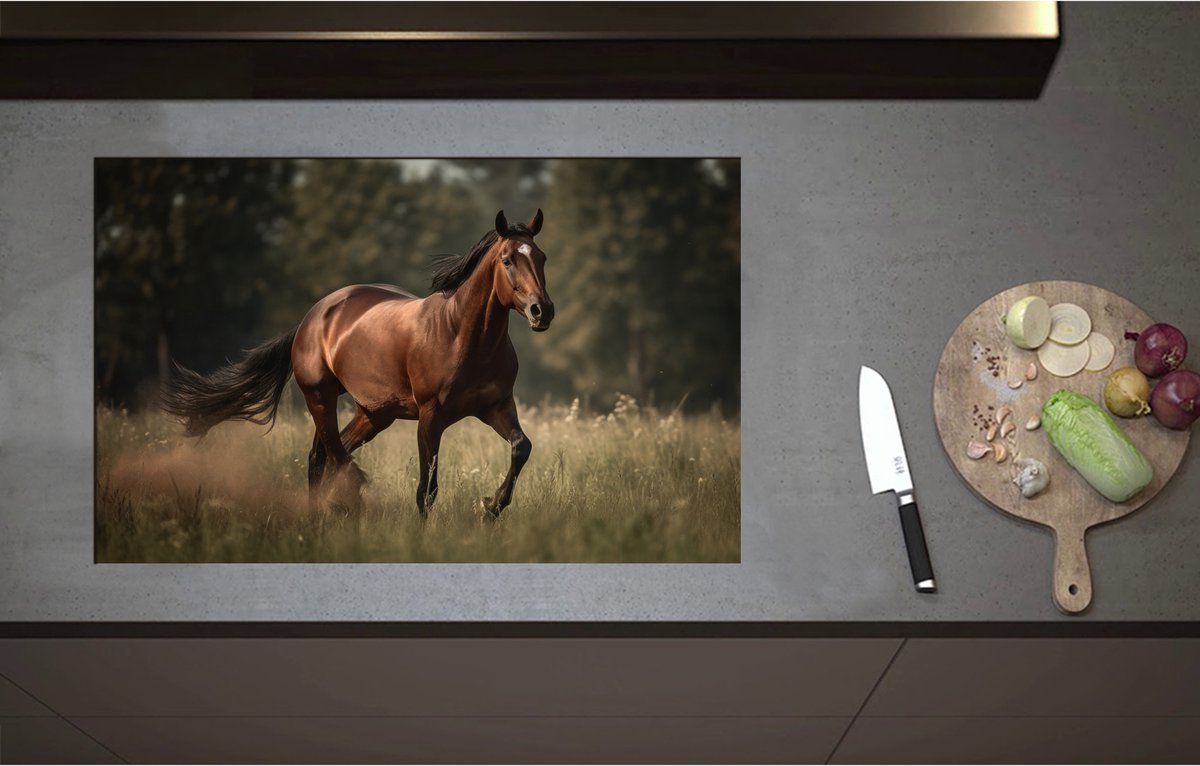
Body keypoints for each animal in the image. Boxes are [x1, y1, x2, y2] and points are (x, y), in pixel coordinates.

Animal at [161, 209, 555, 519]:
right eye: (507, 260)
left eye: (542, 257)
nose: (542, 311)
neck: (461, 335)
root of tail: (311, 318)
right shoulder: (431, 416)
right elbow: (427, 489)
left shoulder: (495, 406)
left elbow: (521, 447)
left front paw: (491, 507)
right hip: (320, 396)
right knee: (330, 457)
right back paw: (345, 502)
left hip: (374, 413)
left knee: (325, 456)